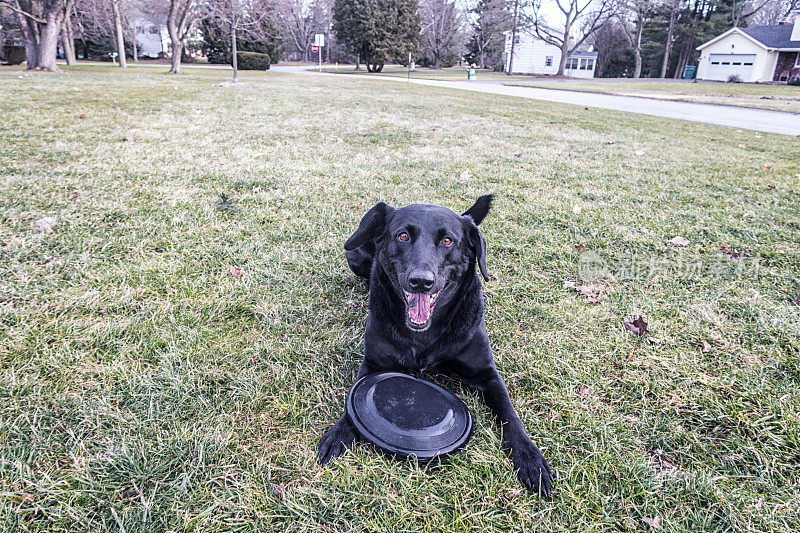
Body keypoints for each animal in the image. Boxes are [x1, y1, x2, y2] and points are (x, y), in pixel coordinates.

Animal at [316, 194, 552, 494]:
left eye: (447, 241)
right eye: (403, 235)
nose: (420, 281)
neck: (424, 334)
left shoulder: (487, 373)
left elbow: (510, 414)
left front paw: (529, 455)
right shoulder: (373, 365)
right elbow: (351, 403)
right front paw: (339, 433)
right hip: (354, 254)